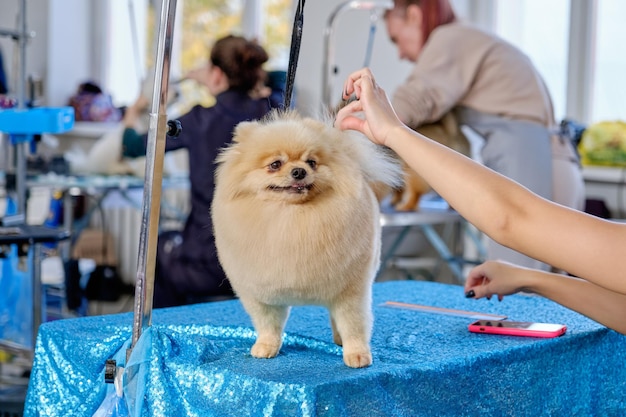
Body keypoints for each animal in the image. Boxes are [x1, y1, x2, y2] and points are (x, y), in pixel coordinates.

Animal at [212, 109, 400, 366]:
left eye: (312, 162)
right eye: (275, 164)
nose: (299, 171)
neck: (292, 217)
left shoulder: (351, 292)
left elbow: (353, 325)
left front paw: (357, 354)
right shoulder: (261, 295)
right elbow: (268, 324)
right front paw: (266, 346)